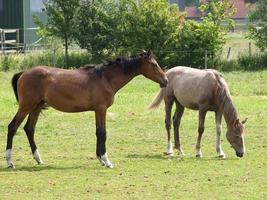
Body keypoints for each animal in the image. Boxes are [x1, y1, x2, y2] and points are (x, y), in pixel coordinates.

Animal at [5, 50, 168, 168]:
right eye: (154, 64)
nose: (165, 80)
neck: (105, 79)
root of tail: (24, 73)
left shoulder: (97, 110)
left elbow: (98, 132)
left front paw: (100, 159)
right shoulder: (101, 109)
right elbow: (103, 133)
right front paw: (107, 161)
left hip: (36, 107)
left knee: (29, 129)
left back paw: (38, 159)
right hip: (26, 106)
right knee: (12, 127)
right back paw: (9, 161)